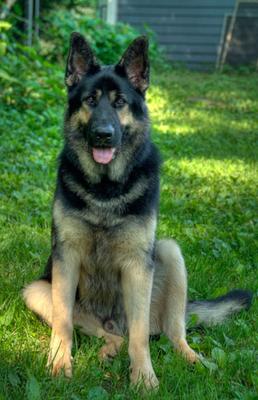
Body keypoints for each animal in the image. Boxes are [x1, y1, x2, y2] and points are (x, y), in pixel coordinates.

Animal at [22, 32, 252, 390]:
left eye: (119, 103)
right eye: (90, 100)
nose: (103, 135)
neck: (105, 190)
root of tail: (114, 323)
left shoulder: (138, 267)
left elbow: (141, 335)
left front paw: (143, 376)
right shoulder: (65, 259)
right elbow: (63, 324)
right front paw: (59, 362)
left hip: (168, 253)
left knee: (172, 332)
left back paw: (194, 360)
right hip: (36, 291)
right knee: (108, 334)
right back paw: (107, 350)